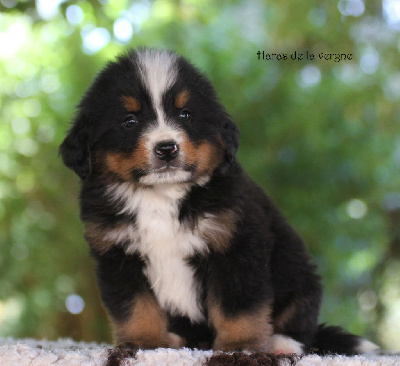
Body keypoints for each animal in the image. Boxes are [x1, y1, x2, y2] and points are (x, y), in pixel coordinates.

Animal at [59, 48, 378, 354]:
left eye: (185, 115)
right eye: (130, 120)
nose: (167, 148)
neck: (161, 195)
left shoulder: (236, 245)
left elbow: (238, 305)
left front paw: (241, 345)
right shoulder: (118, 255)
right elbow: (135, 306)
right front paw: (143, 342)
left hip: (299, 277)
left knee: (301, 323)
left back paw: (281, 343)